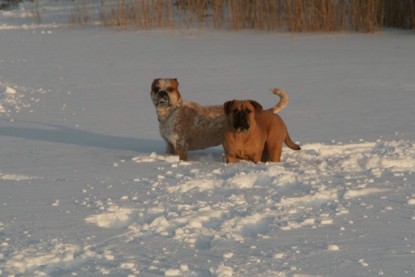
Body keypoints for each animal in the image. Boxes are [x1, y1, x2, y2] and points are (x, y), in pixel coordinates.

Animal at [151, 77, 290, 160]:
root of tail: (265, 111)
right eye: (156, 88)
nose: (162, 92)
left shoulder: (181, 145)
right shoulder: (170, 145)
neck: (170, 113)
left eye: (170, 88)